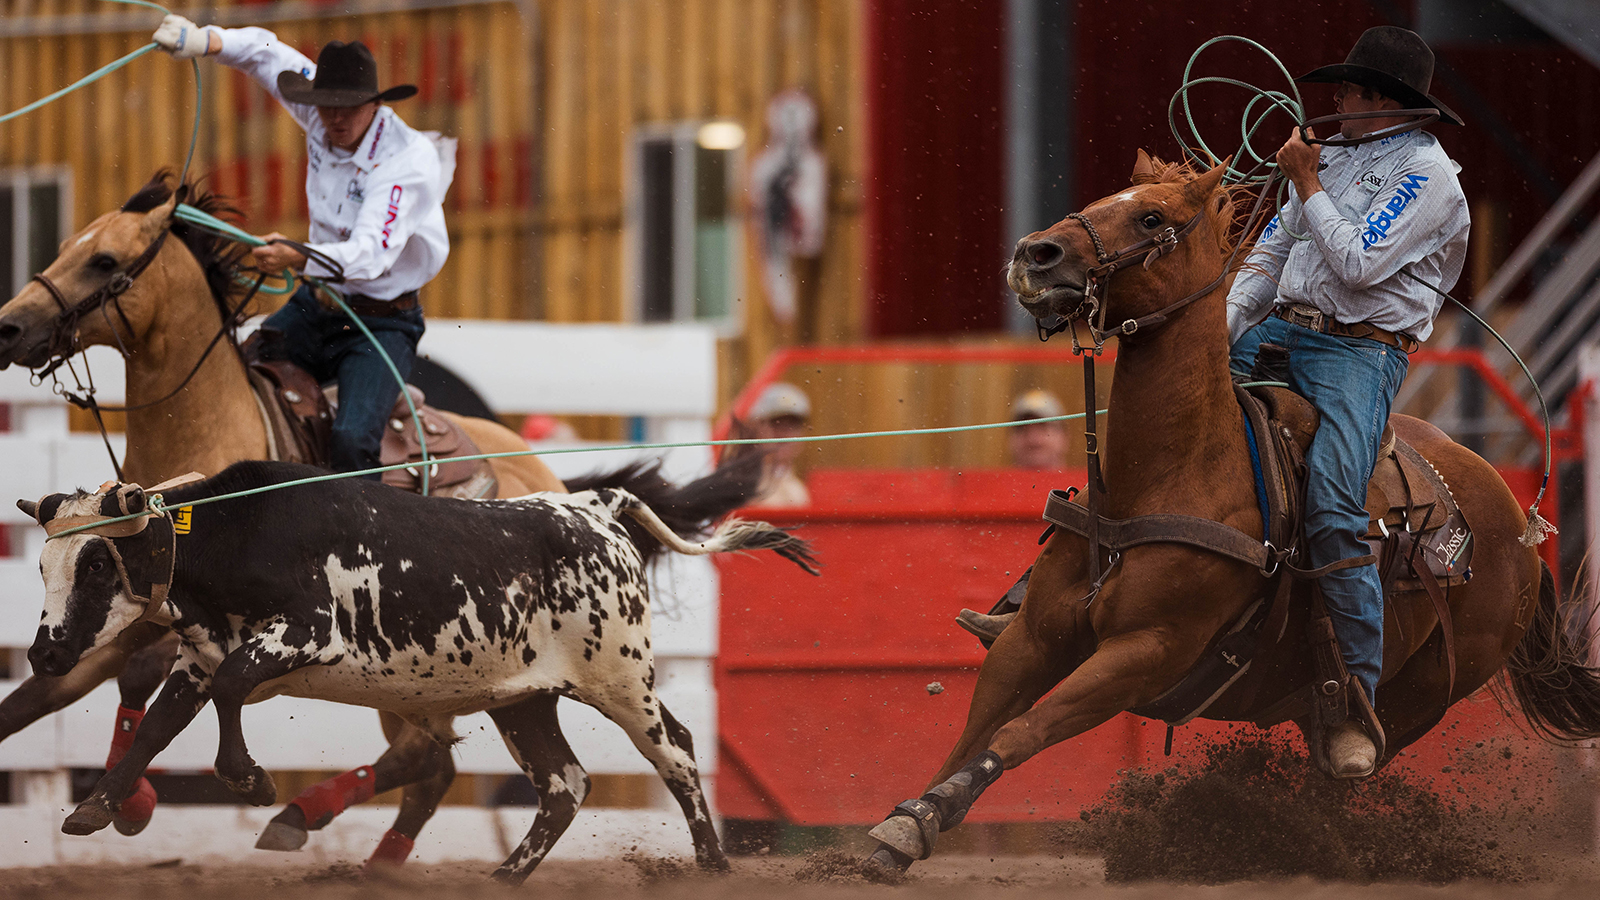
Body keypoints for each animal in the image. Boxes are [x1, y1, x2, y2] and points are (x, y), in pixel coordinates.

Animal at [0, 169, 736, 864]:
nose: (12, 328)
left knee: (663, 748)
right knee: (552, 782)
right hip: (520, 696)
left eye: (104, 261)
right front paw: (102, 805)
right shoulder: (194, 653)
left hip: (616, 680)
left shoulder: (301, 632)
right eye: (43, 566)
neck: (232, 522)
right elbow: (142, 719)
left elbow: (221, 688)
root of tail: (593, 506)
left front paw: (245, 783)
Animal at [864, 152, 1600, 871]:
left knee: (1345, 769)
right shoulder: (1035, 637)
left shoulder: (1147, 650)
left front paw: (922, 820)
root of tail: (1522, 527)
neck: (1170, 476)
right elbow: (978, 728)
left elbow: (1023, 731)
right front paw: (906, 822)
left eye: (1152, 217)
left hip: (1423, 697)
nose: (1034, 254)